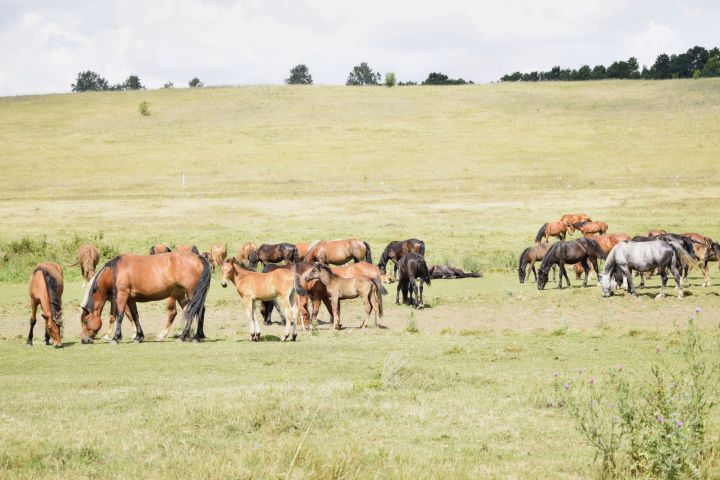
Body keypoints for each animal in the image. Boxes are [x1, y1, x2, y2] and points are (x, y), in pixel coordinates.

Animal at [81, 251, 212, 344]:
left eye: (85, 320)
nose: (83, 340)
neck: (115, 271)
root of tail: (199, 258)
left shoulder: (122, 295)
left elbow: (119, 315)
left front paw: (115, 338)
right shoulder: (131, 299)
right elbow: (135, 316)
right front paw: (138, 337)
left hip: (191, 292)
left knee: (195, 311)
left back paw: (188, 336)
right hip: (184, 294)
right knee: (196, 311)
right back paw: (194, 336)